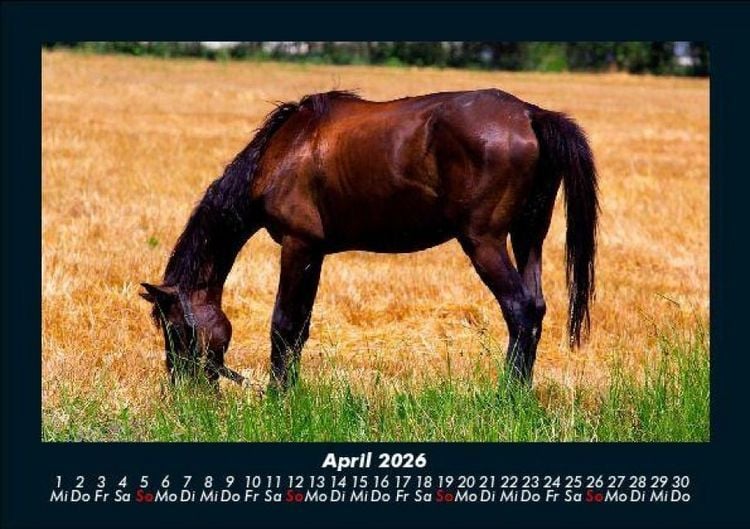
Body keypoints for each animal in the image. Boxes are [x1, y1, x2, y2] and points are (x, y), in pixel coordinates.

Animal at [140, 88, 598, 391]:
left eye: (176, 329)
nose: (185, 393)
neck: (282, 151)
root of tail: (532, 115)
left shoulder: (297, 245)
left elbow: (283, 325)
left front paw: (277, 398)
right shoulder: (316, 252)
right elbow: (300, 328)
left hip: (484, 242)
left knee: (520, 311)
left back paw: (507, 396)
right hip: (528, 238)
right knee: (535, 307)